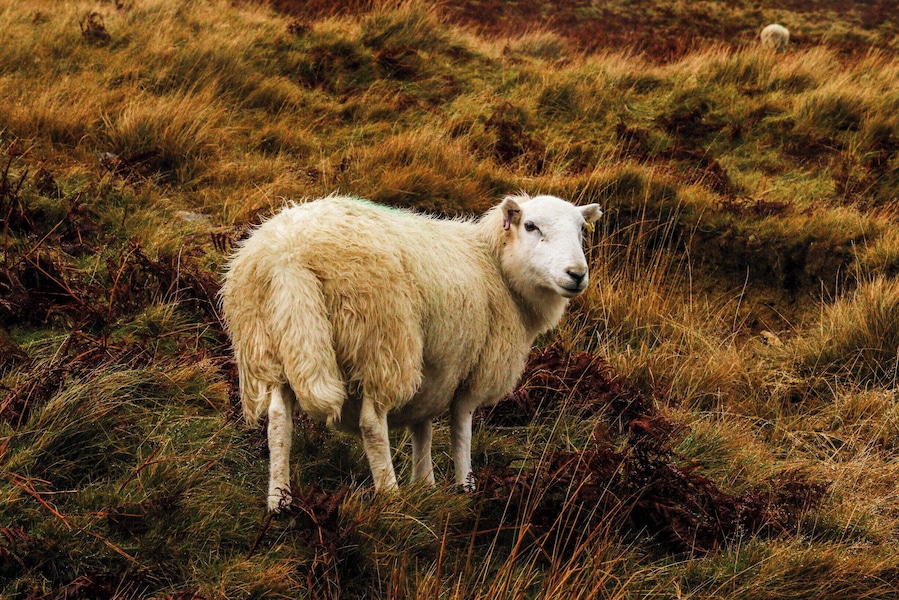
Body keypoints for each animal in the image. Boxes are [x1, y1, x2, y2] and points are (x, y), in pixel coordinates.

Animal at [220, 193, 602, 511]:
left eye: (581, 230)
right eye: (531, 225)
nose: (576, 274)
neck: (494, 265)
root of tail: (290, 258)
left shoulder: (438, 370)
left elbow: (424, 428)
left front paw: (426, 484)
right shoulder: (473, 369)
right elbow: (461, 427)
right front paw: (465, 487)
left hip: (272, 344)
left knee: (278, 420)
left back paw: (279, 500)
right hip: (381, 340)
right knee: (372, 423)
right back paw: (390, 495)